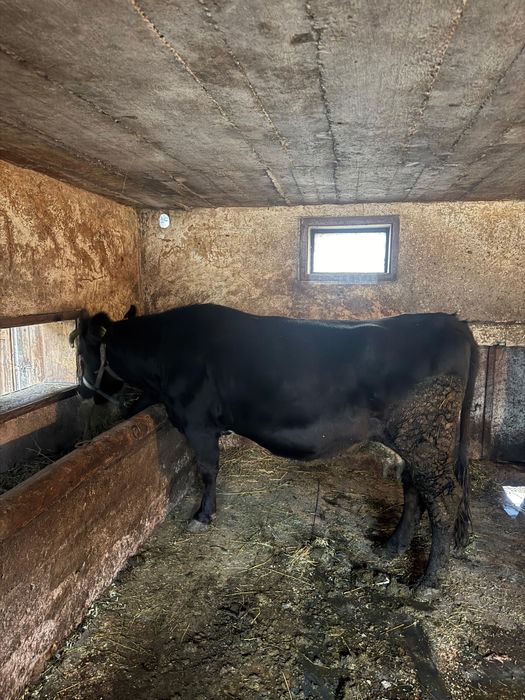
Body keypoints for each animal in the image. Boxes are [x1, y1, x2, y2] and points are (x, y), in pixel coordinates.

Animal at [70, 303, 478, 590]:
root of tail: (454, 322)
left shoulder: (197, 421)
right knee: (415, 489)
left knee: (444, 499)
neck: (164, 350)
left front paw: (203, 515)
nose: (83, 393)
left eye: (82, 351)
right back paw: (393, 546)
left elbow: (207, 469)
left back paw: (427, 582)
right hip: (416, 440)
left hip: (427, 434)